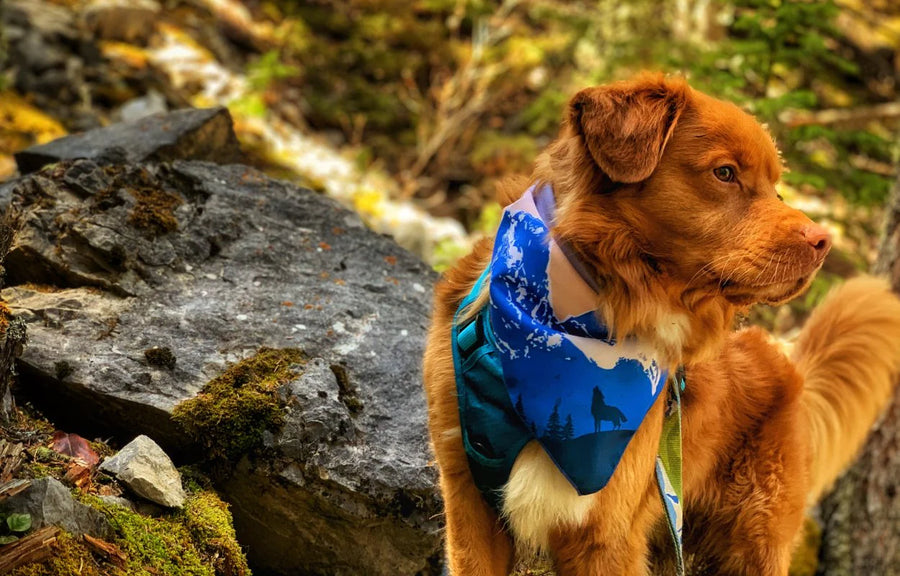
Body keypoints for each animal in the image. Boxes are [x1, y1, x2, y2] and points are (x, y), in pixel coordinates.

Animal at [426, 73, 900, 576]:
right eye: (725, 173)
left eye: (777, 188)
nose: (824, 242)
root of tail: (788, 365)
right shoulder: (469, 500)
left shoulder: (605, 535)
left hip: (753, 543)